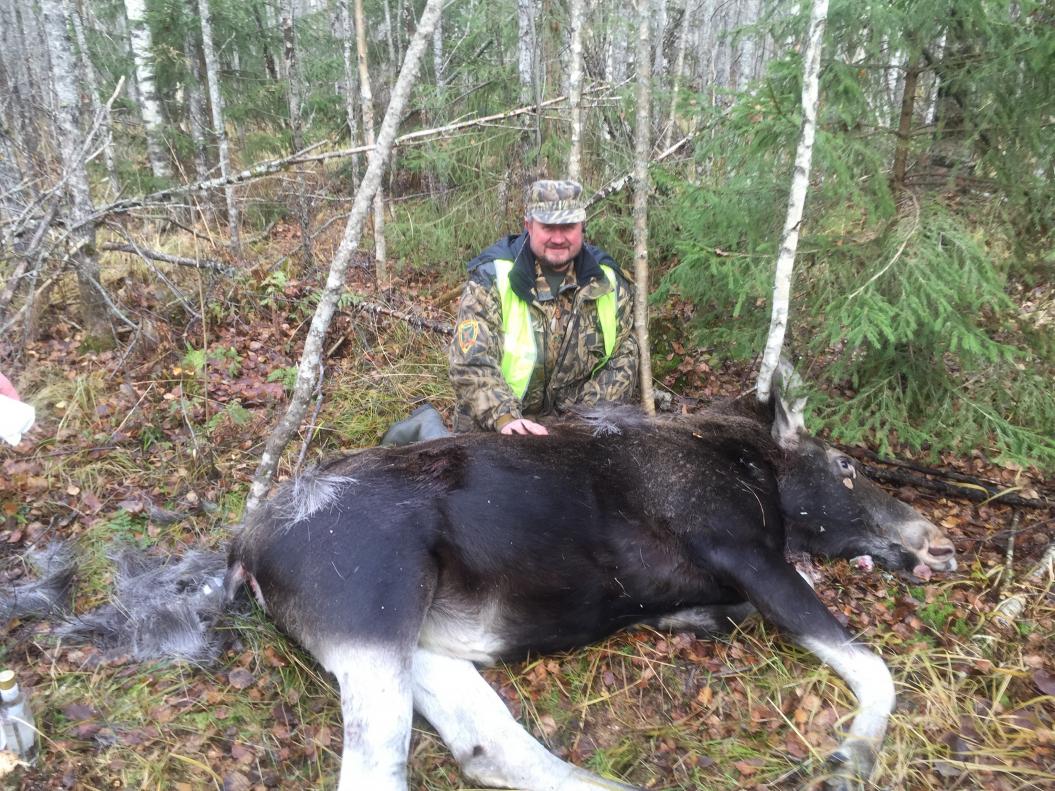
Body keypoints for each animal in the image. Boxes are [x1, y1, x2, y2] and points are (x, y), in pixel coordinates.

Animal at [224, 377, 956, 791]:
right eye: (845, 467)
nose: (940, 541)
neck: (750, 469)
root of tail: (243, 549)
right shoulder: (743, 548)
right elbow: (873, 668)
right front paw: (851, 755)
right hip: (375, 617)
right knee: (382, 773)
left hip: (418, 642)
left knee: (495, 749)